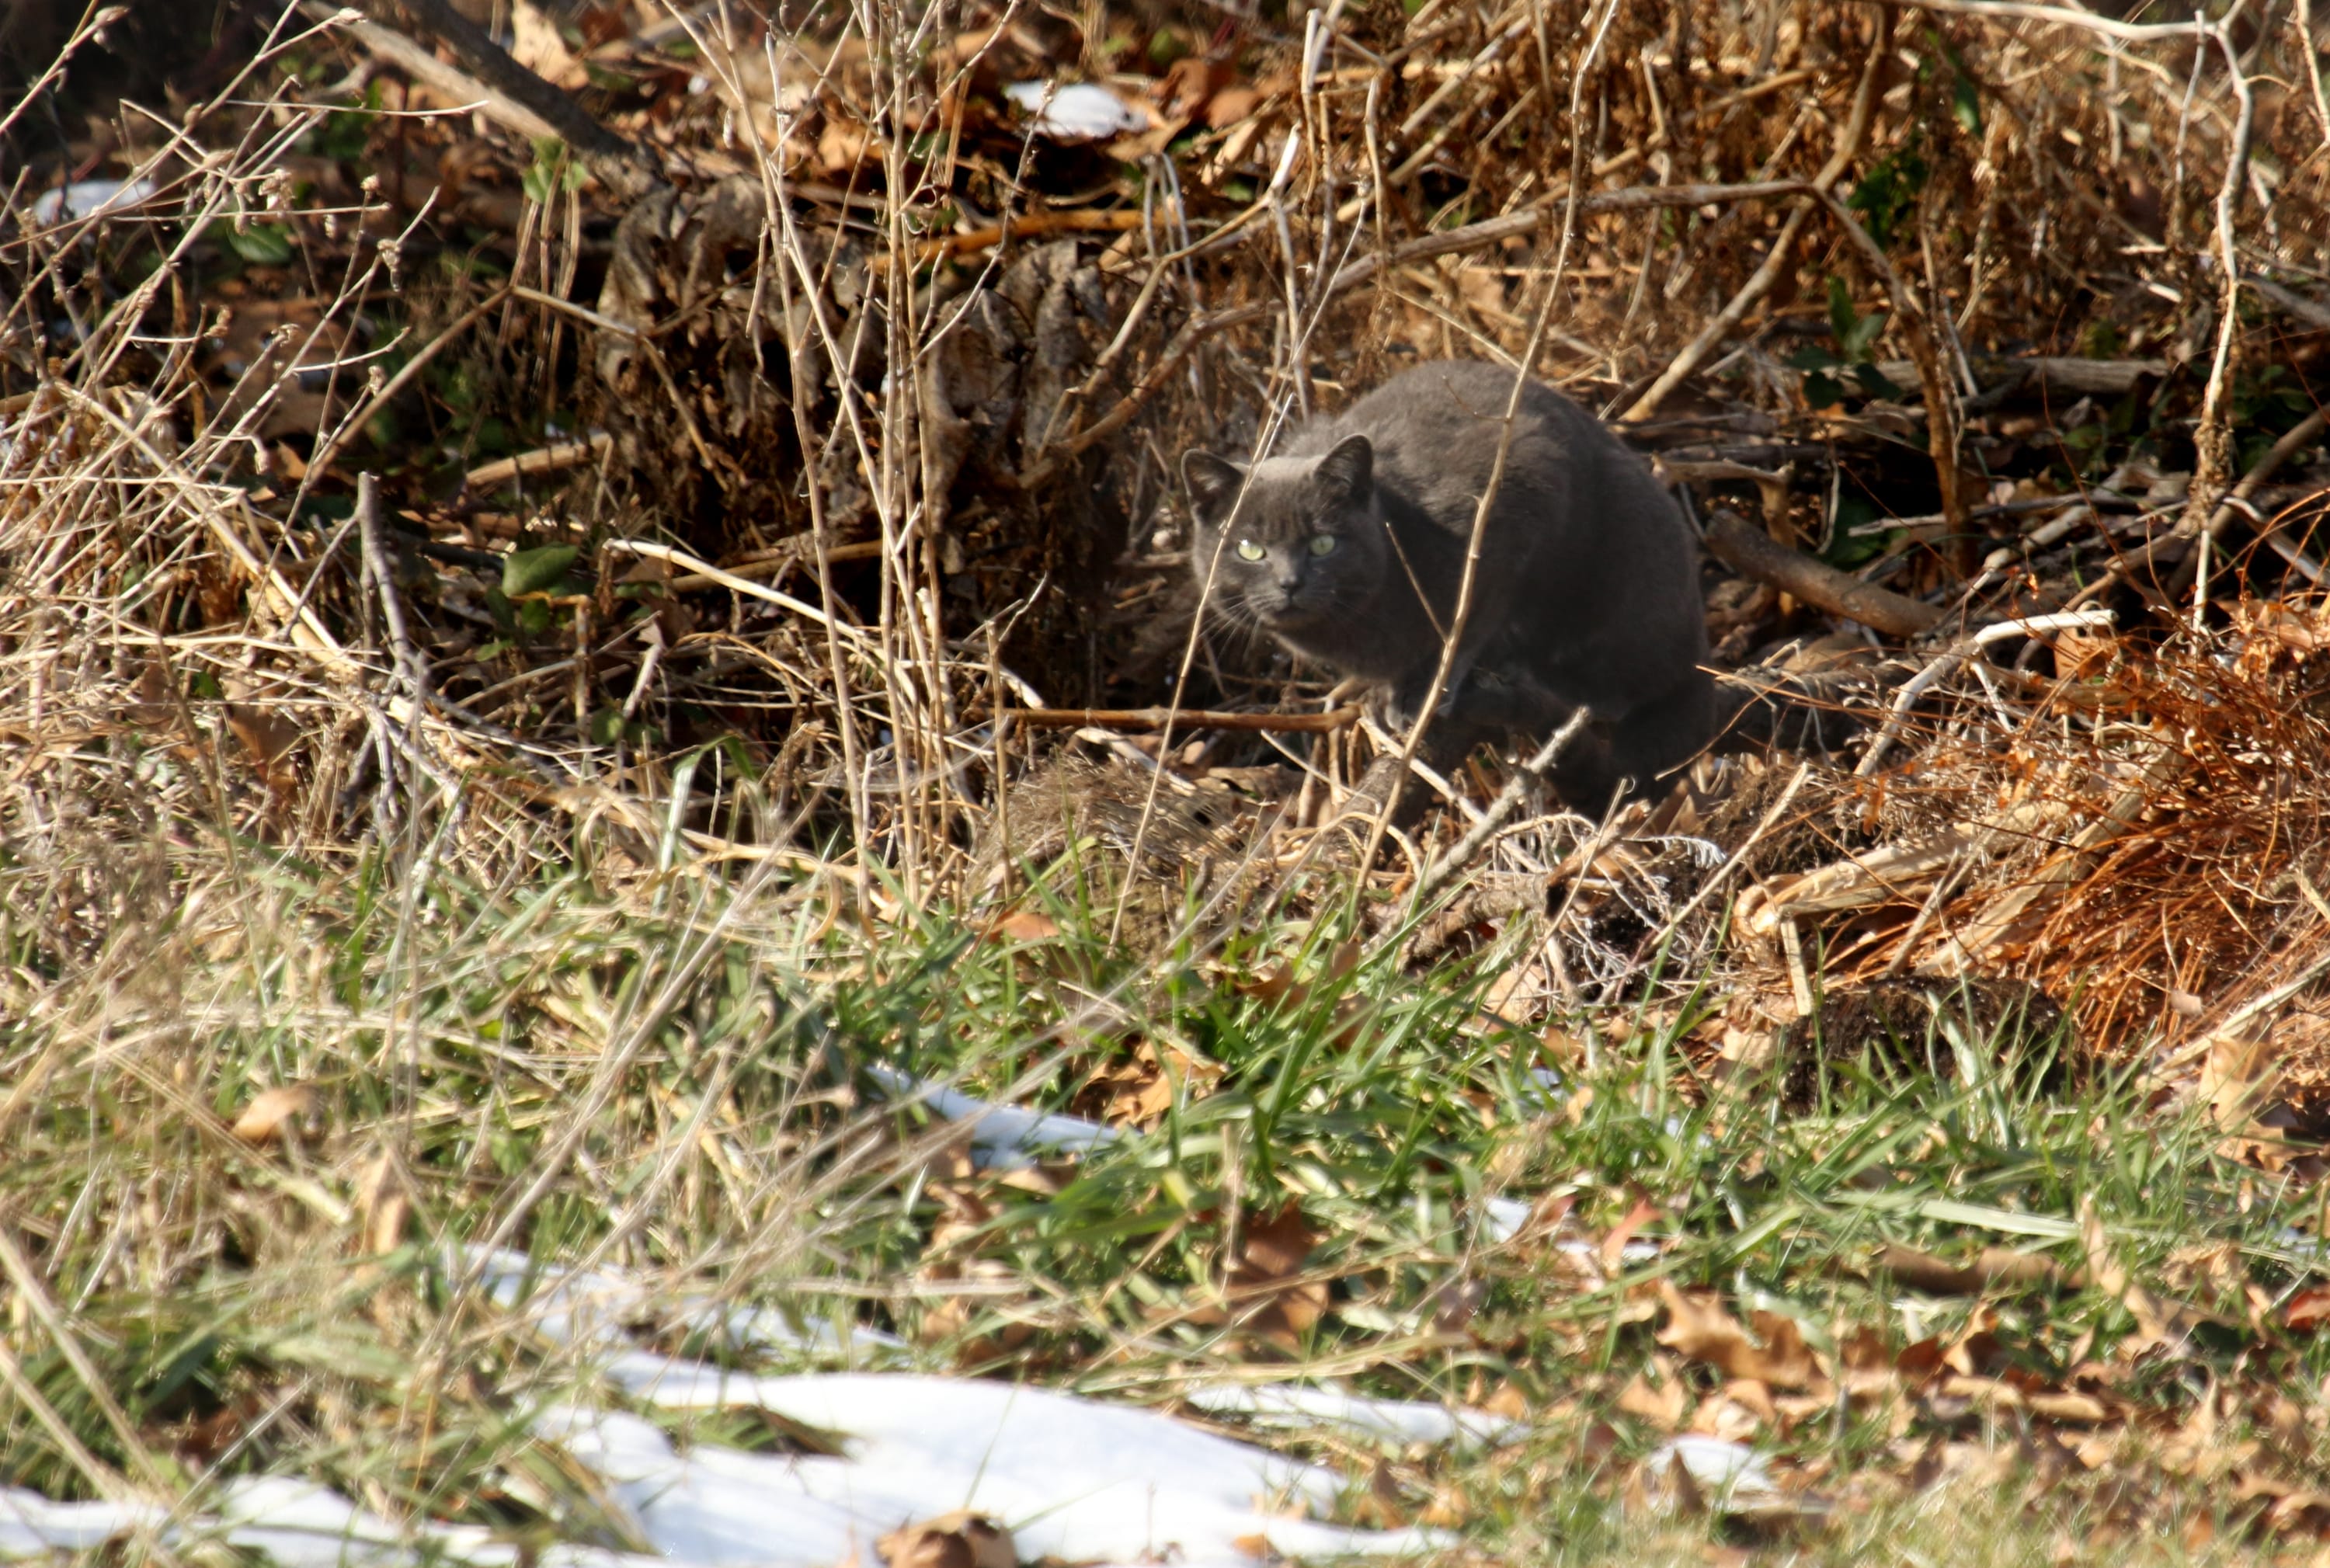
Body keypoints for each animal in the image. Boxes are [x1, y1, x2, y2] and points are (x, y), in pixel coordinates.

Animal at [1184, 356, 1715, 806]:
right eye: (1250, 549)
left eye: (1322, 544)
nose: (1290, 581)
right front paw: (1388, 695)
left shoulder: (1517, 498)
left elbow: (1473, 620)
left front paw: (1426, 690)